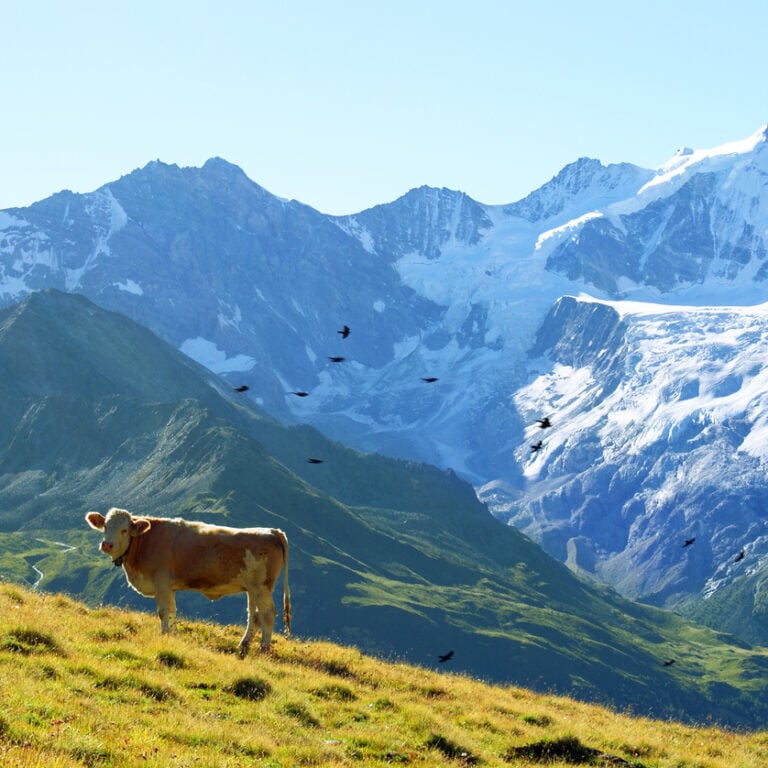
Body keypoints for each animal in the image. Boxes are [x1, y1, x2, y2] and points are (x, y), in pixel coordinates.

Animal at [85, 507, 291, 656]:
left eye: (124, 530)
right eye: (105, 526)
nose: (107, 545)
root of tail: (272, 531)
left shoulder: (161, 582)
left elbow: (163, 612)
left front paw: (164, 635)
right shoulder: (170, 587)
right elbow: (172, 612)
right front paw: (173, 636)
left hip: (262, 586)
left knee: (267, 614)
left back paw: (263, 649)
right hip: (252, 588)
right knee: (254, 615)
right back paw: (244, 645)